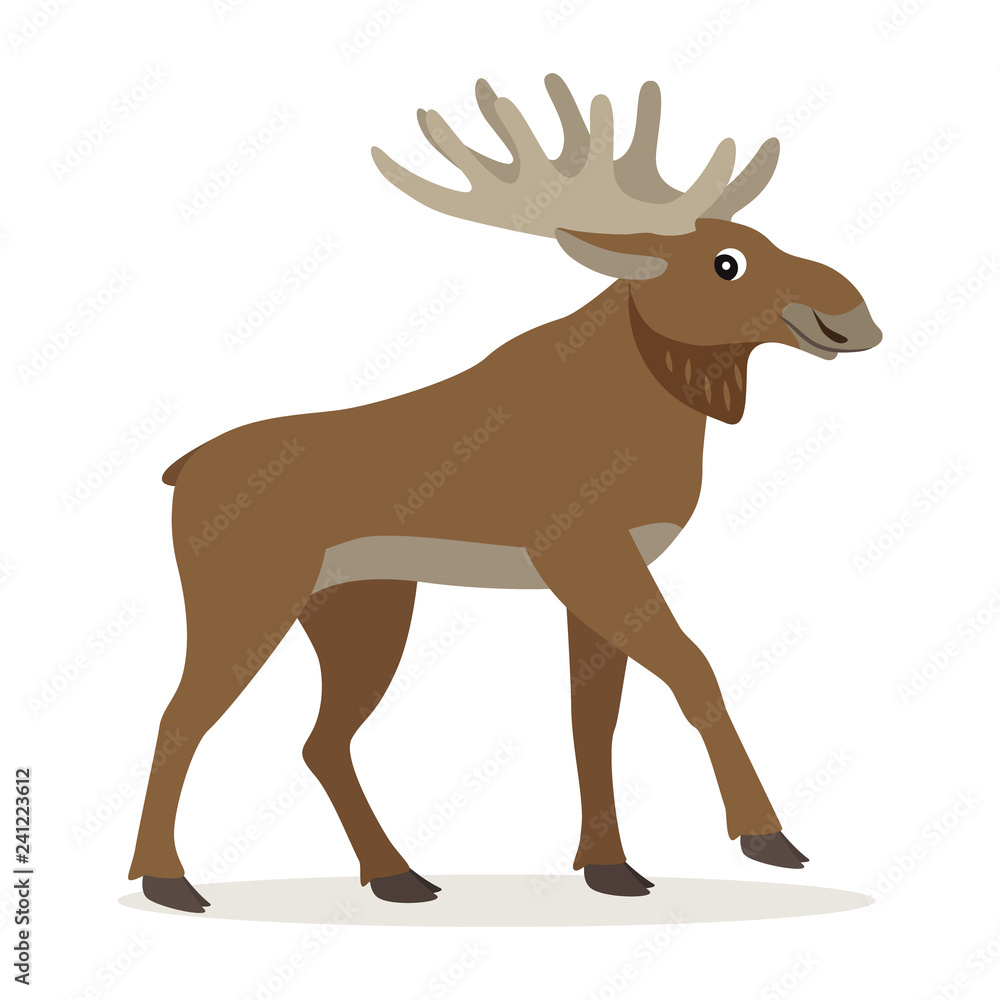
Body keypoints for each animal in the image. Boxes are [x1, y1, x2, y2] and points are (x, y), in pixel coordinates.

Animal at [129, 75, 881, 911]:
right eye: (727, 263)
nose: (852, 314)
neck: (655, 407)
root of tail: (179, 471)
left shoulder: (598, 566)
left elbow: (594, 719)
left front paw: (608, 865)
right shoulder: (583, 550)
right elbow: (694, 672)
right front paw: (764, 835)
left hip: (365, 603)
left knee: (322, 740)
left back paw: (395, 874)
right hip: (246, 597)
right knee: (180, 718)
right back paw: (167, 878)